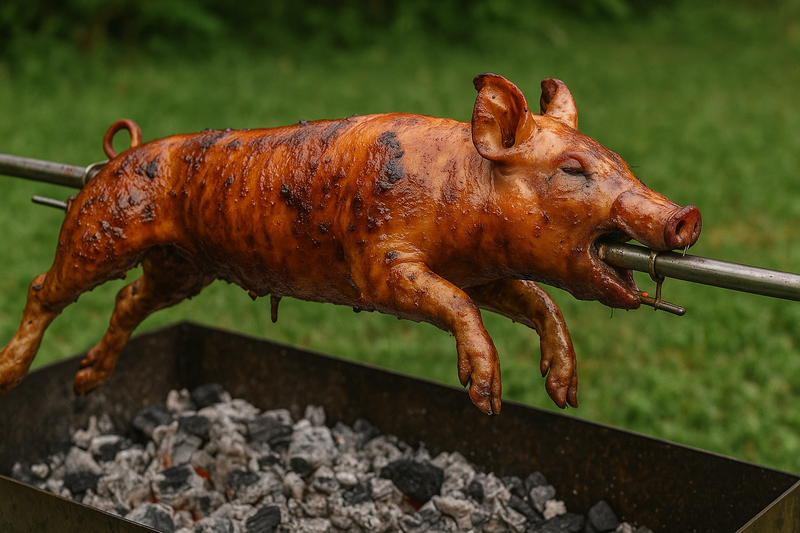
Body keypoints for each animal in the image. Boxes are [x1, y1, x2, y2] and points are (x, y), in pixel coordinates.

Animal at [0, 74, 701, 414]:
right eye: (573, 169)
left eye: (617, 159)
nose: (686, 216)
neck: (459, 184)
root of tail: (105, 164)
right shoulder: (380, 264)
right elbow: (455, 305)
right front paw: (486, 396)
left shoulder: (483, 269)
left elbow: (535, 299)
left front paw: (563, 392)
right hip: (101, 228)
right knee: (43, 288)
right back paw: (11, 374)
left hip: (182, 267)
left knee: (128, 303)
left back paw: (86, 382)